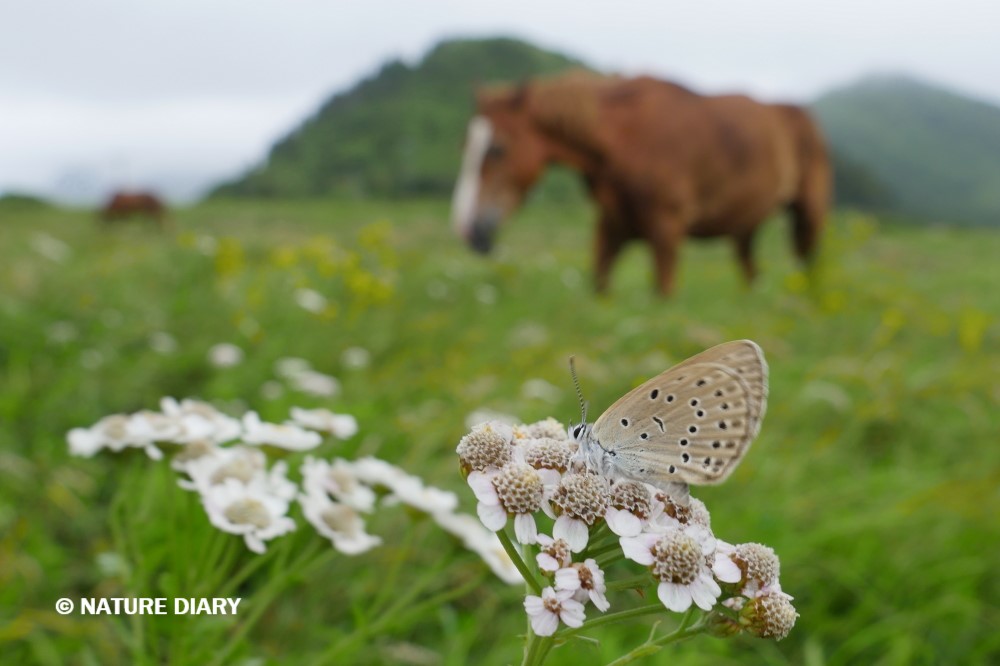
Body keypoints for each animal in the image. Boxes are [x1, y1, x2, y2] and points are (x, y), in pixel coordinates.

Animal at [452, 70, 828, 296]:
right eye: (465, 145)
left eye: (497, 149)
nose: (467, 229)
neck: (623, 142)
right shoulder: (612, 227)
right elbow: (599, 286)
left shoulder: (666, 229)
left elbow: (663, 293)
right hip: (745, 228)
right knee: (752, 271)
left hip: (808, 214)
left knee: (806, 264)